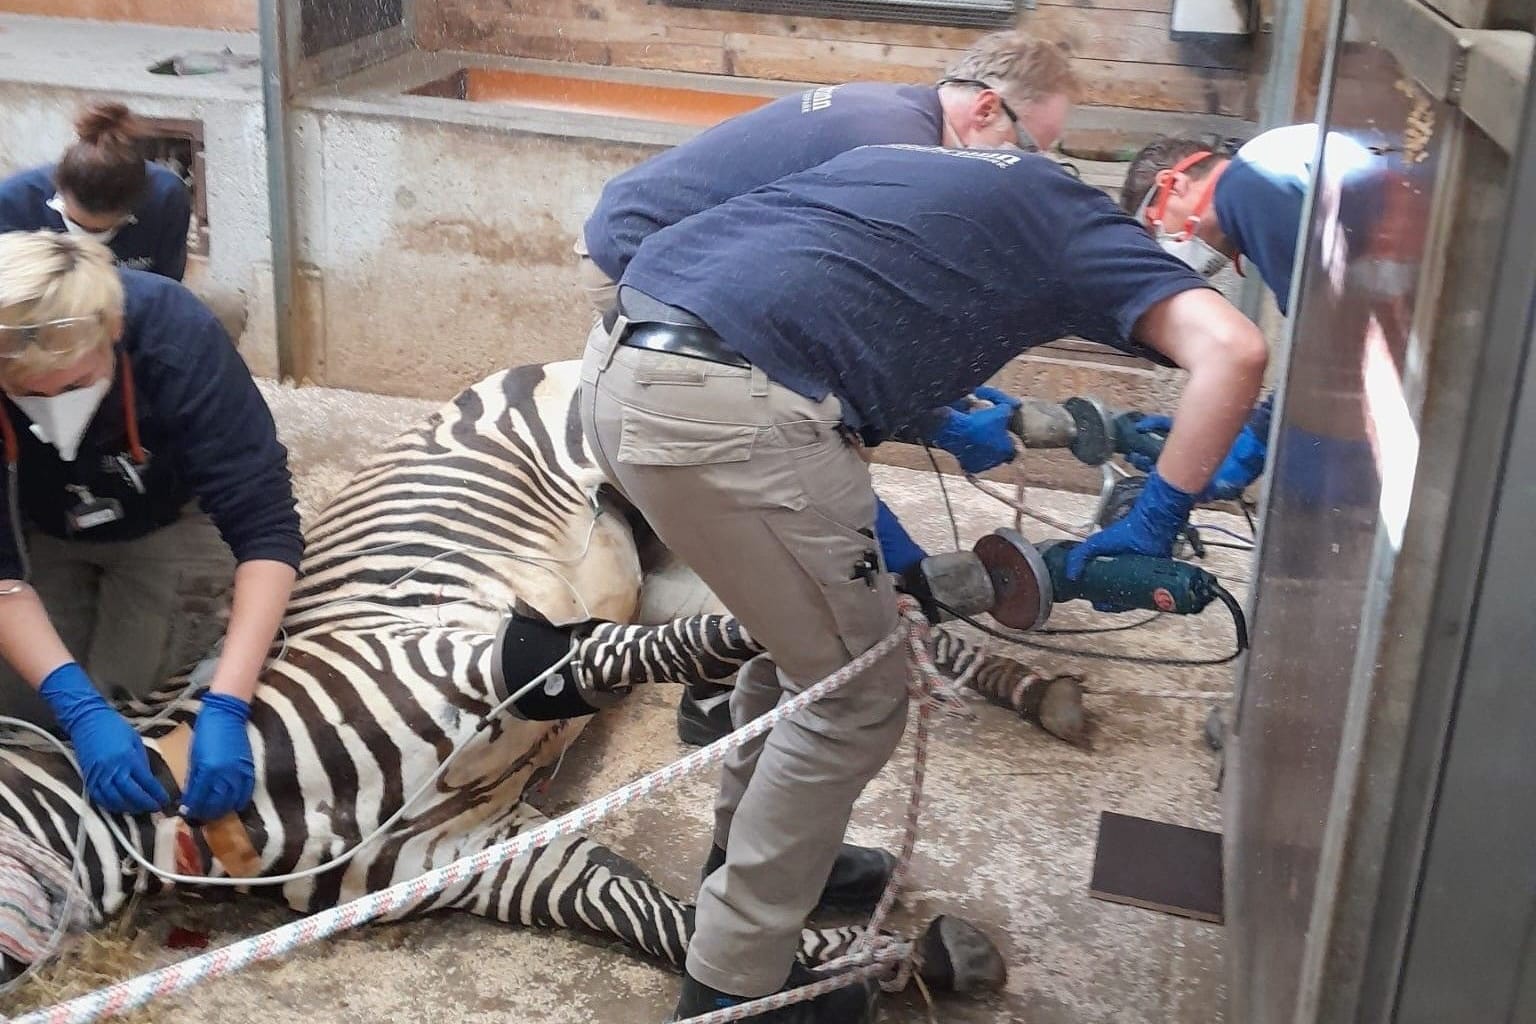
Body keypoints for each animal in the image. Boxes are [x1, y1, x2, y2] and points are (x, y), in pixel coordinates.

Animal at [0, 362, 1069, 1007]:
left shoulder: (480, 657)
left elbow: (611, 659)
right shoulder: (492, 858)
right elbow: (655, 917)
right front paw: (868, 963)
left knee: (835, 605)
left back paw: (997, 635)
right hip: (675, 546)